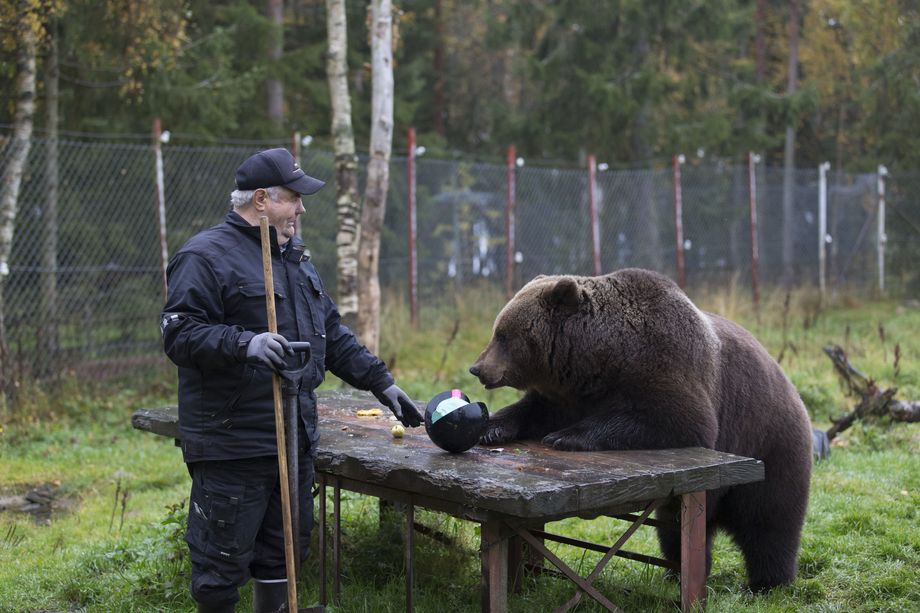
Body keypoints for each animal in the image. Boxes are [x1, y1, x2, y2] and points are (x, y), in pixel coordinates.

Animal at [470, 268, 808, 592]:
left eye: (503, 335)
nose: (477, 368)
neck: (600, 359)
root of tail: (788, 384)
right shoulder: (570, 393)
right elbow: (532, 410)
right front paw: (491, 428)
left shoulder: (667, 367)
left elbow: (676, 420)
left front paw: (565, 437)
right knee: (674, 529)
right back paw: (677, 572)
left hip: (770, 439)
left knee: (769, 522)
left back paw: (766, 582)